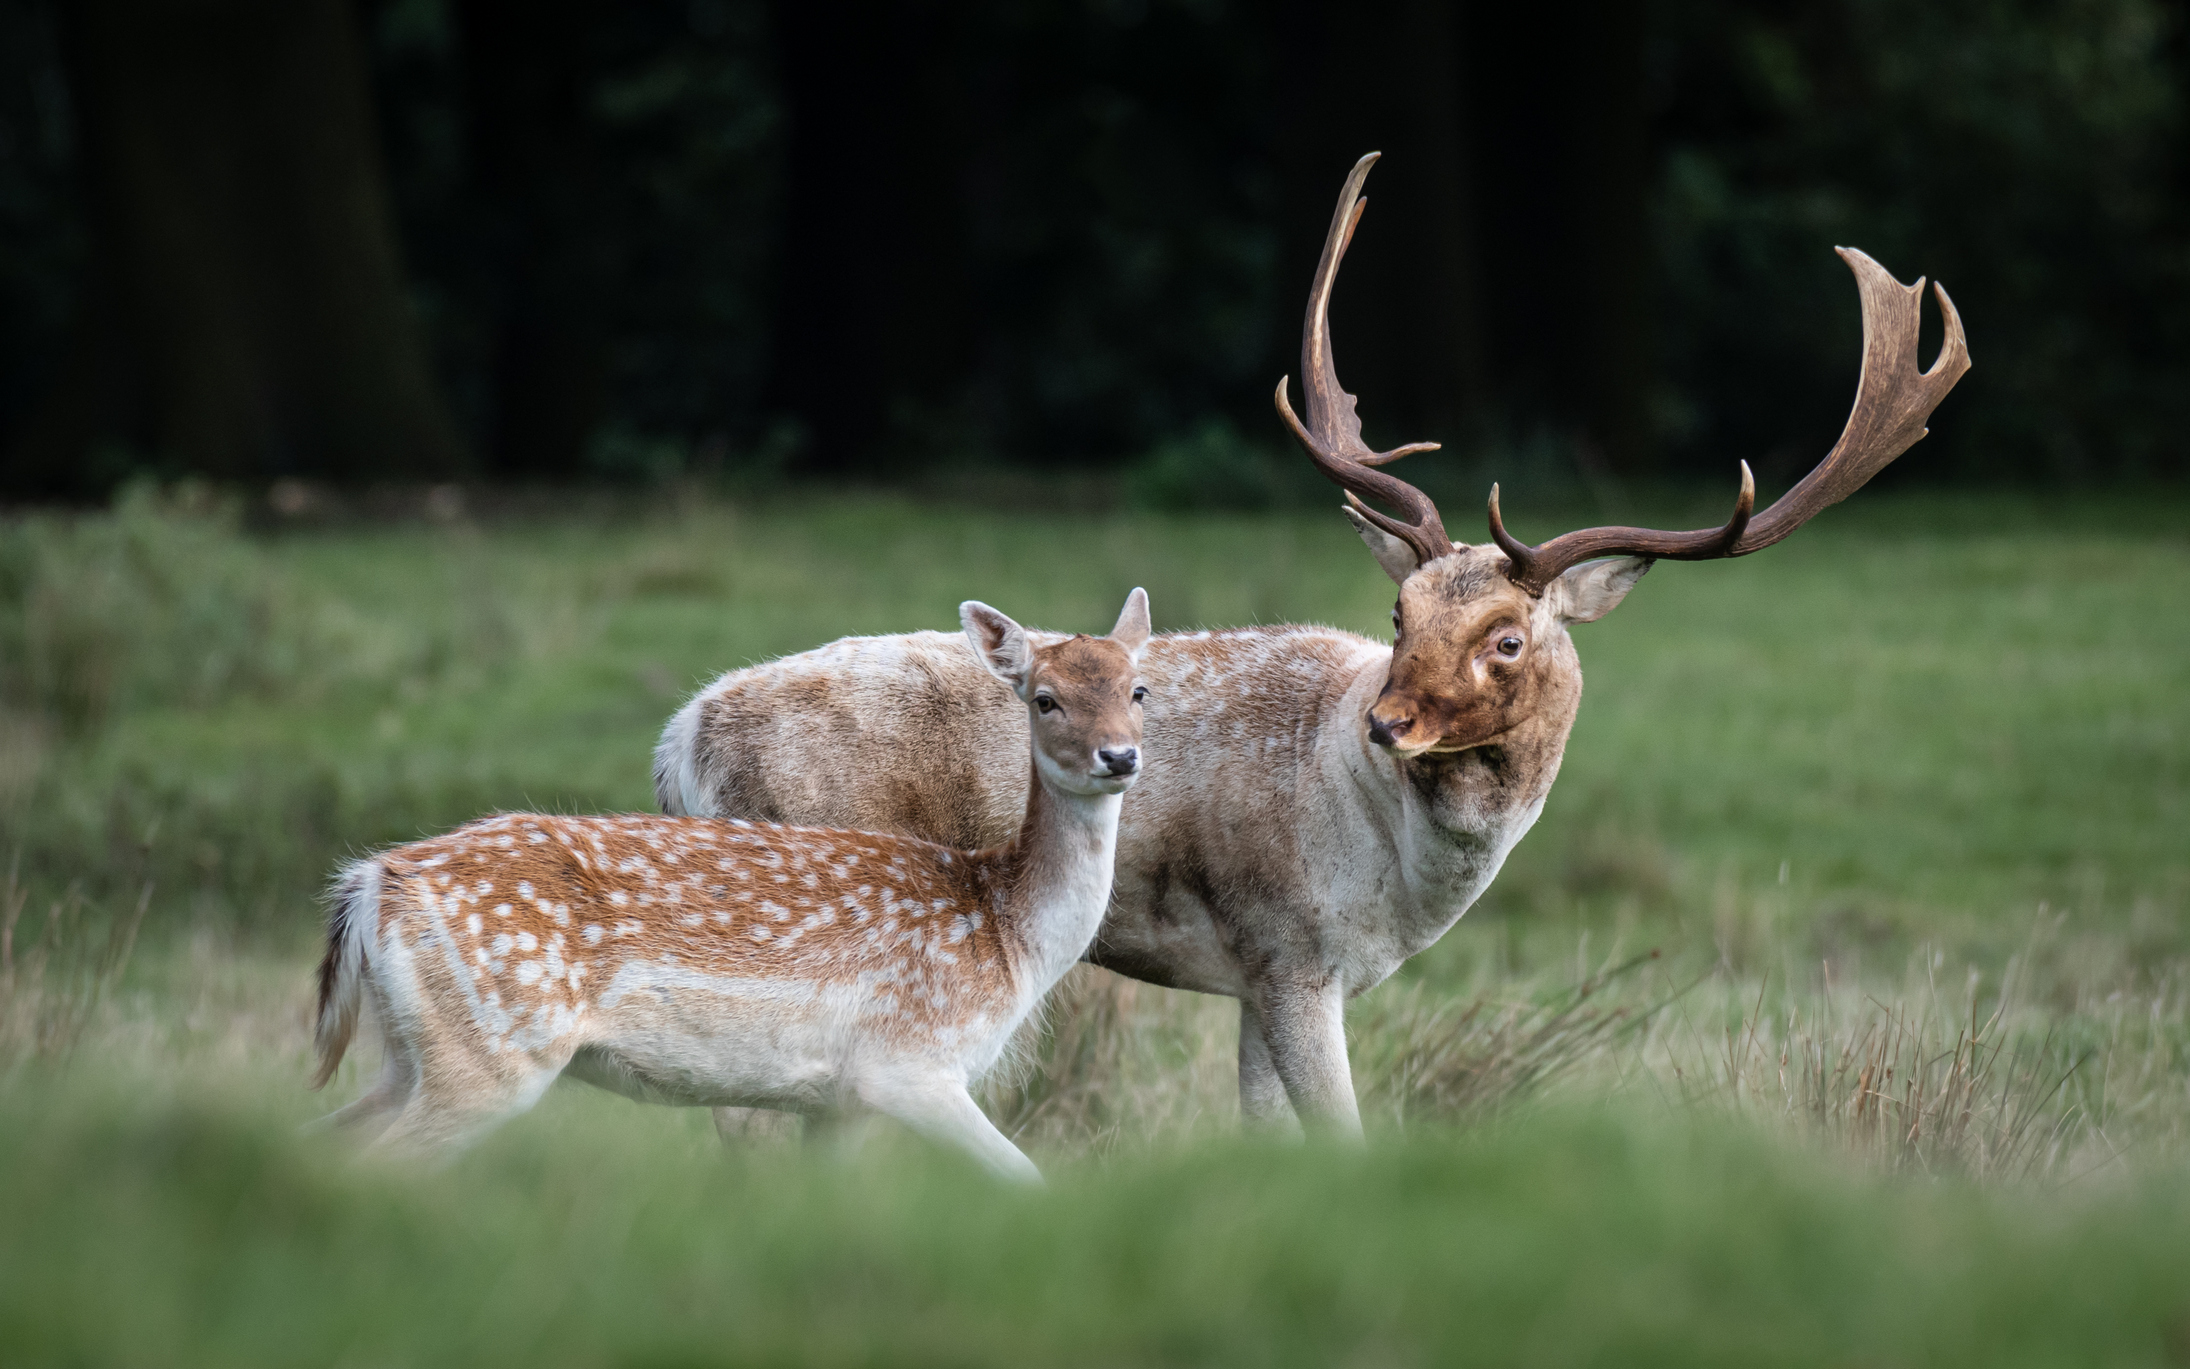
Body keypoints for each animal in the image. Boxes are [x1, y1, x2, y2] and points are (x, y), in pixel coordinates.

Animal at [310, 590, 1153, 1181]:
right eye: (1043, 697)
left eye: (1137, 690)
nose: (1119, 756)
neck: (1006, 932)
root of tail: (368, 887)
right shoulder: (906, 1063)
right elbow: (1029, 1178)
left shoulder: (840, 1098)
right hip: (492, 1052)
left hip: (413, 1052)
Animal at [654, 152, 1971, 1137]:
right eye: (1399, 614)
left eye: (1506, 637)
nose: (1390, 721)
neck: (1395, 878)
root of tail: (681, 743)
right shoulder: (1289, 946)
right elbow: (1340, 1136)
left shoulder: (1254, 973)